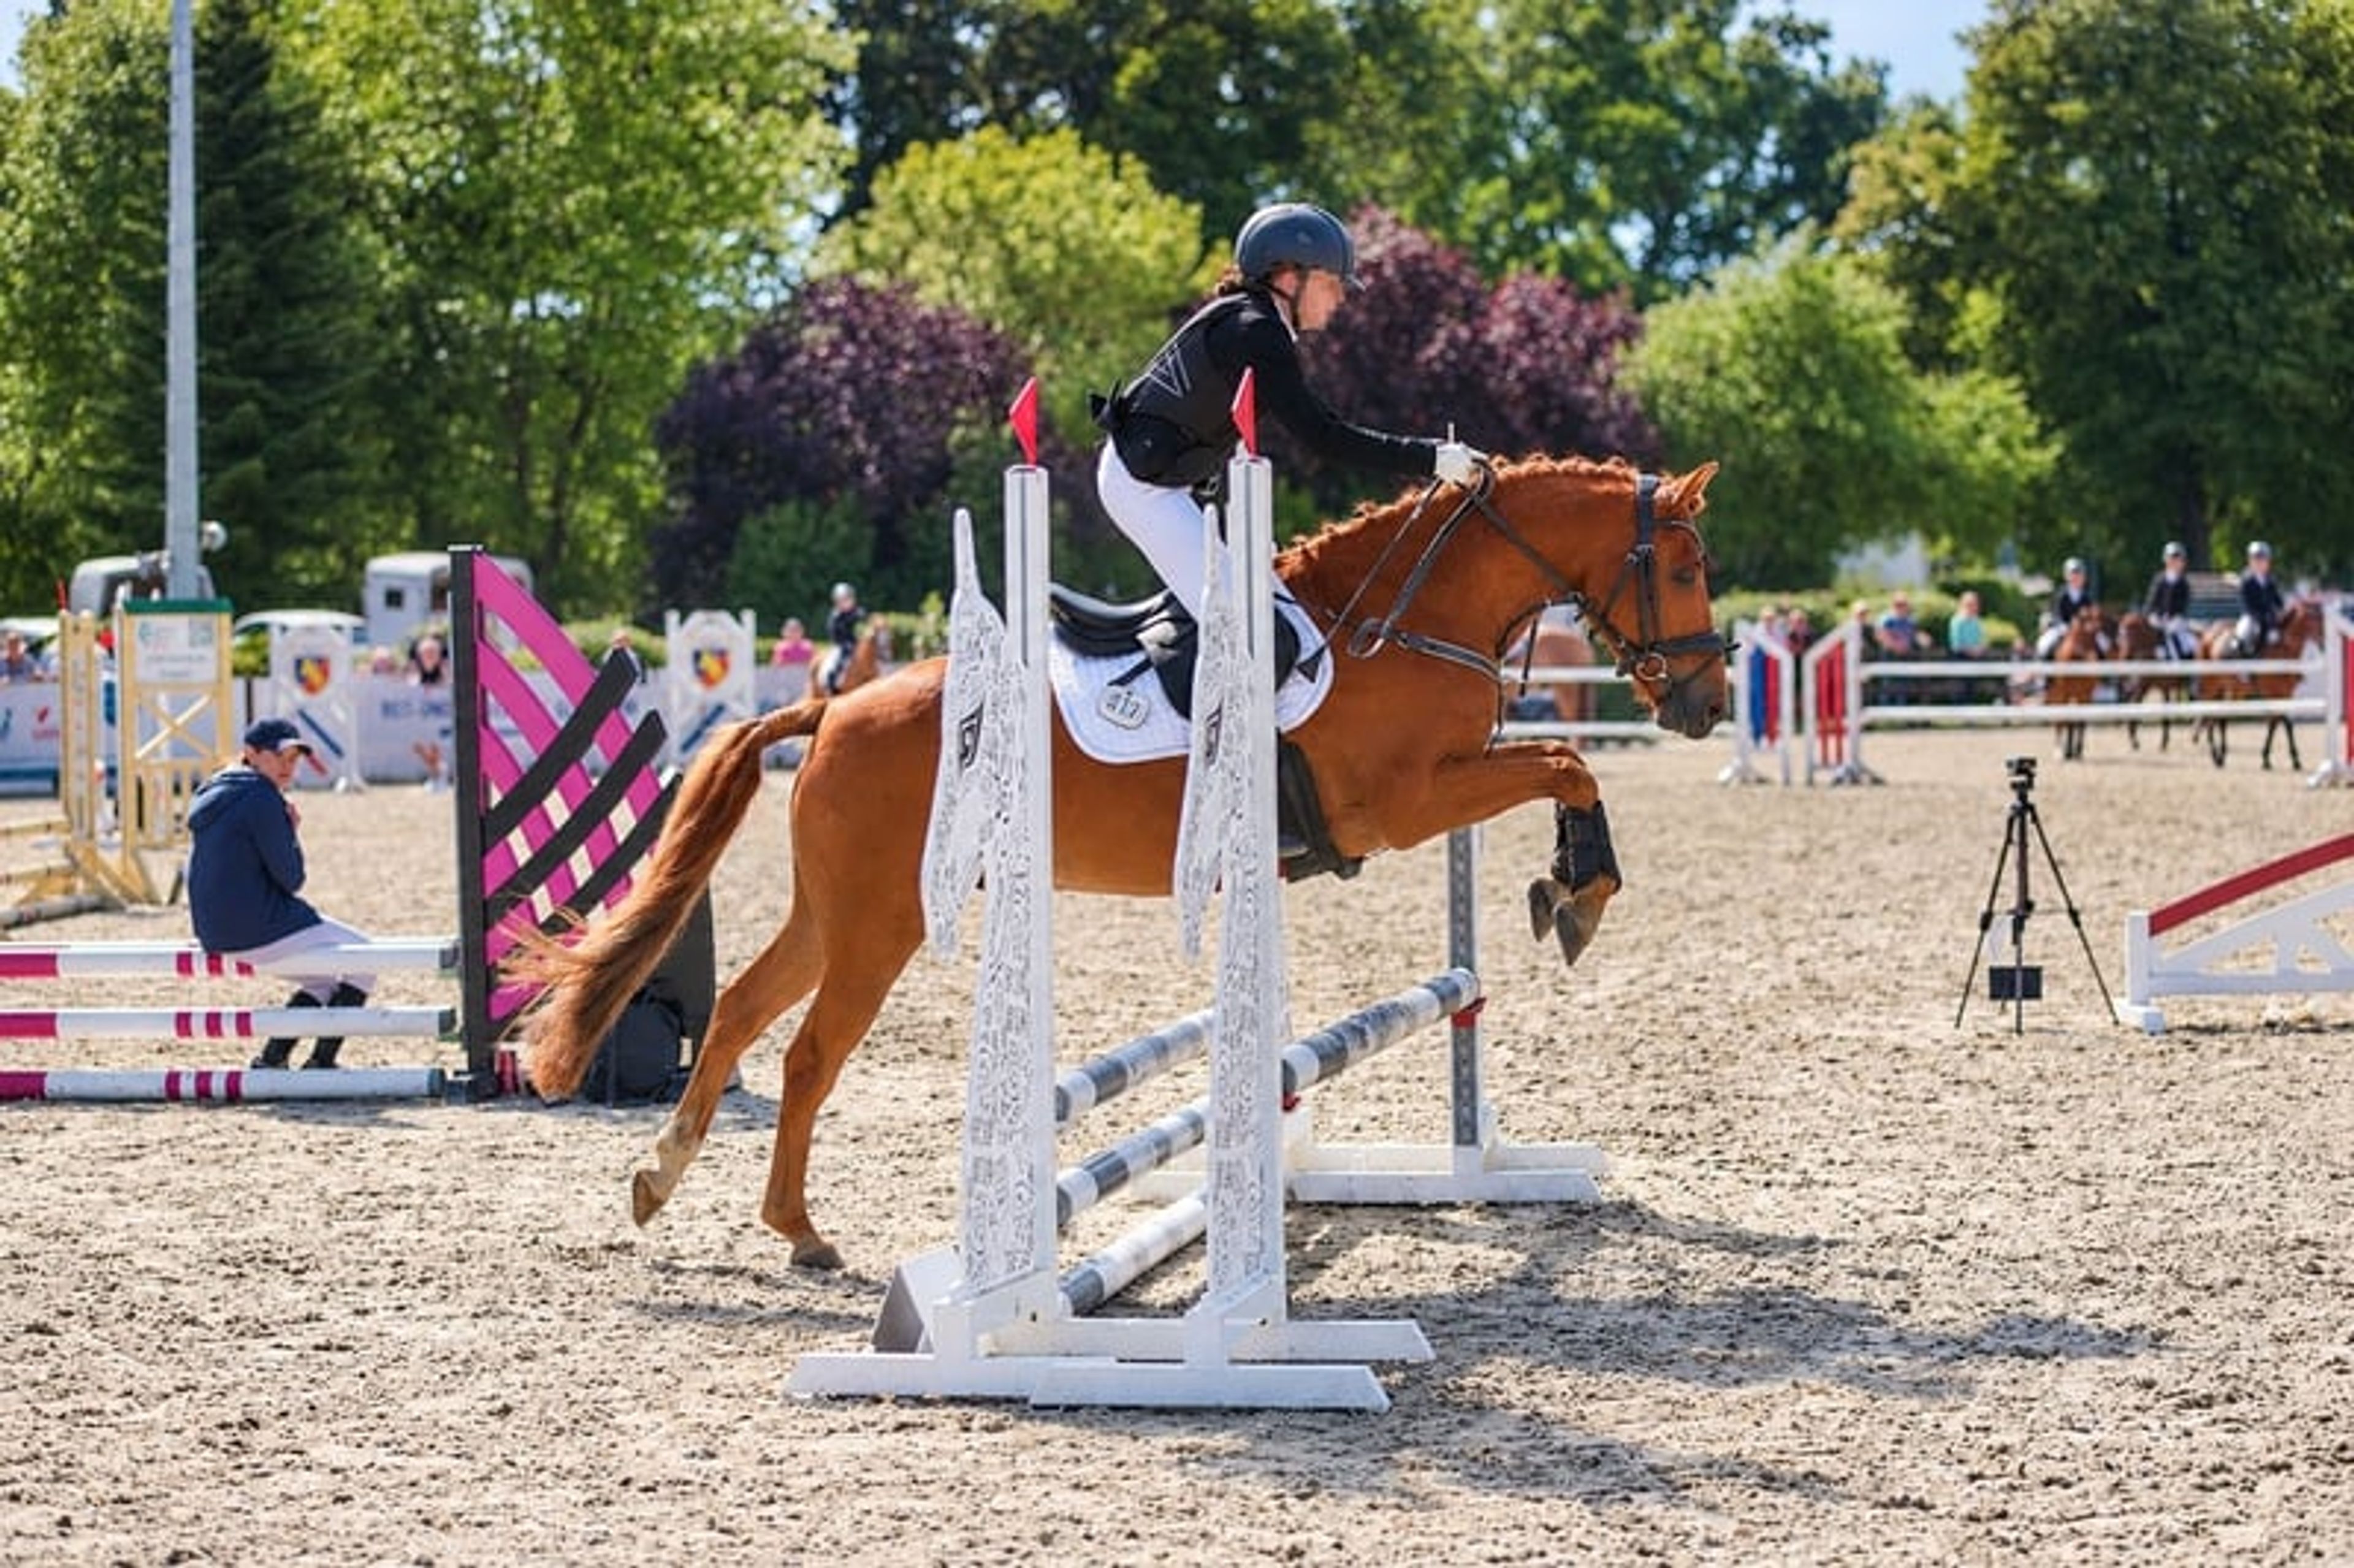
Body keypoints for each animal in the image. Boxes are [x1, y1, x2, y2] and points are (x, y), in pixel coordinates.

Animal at [522, 455, 1727, 1269]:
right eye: (1679, 565)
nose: (1707, 704)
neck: (1402, 617)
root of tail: (833, 707)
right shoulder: (1404, 802)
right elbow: (1570, 760)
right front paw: (1577, 891)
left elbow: (1563, 762)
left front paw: (1569, 886)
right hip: (883, 921)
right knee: (812, 1052)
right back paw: (802, 1229)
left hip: (837, 911)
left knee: (736, 1009)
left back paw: (663, 1180)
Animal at [2045, 604, 2114, 761]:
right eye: (2103, 618)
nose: (2117, 631)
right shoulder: (2072, 694)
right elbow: (2071, 719)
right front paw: (2069, 751)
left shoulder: (2084, 694)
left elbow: (2078, 720)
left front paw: (2074, 751)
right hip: (2060, 694)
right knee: (2060, 718)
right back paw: (2059, 749)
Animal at [2193, 598, 2323, 770]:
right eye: (2317, 620)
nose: (2324, 644)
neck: (2285, 649)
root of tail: (2209, 632)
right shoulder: (2273, 693)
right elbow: (2285, 722)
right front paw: (2295, 759)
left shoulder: (2285, 694)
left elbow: (2276, 723)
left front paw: (2267, 759)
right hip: (2211, 685)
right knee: (2210, 713)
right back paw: (2215, 754)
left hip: (2234, 690)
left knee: (2220, 715)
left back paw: (2219, 756)